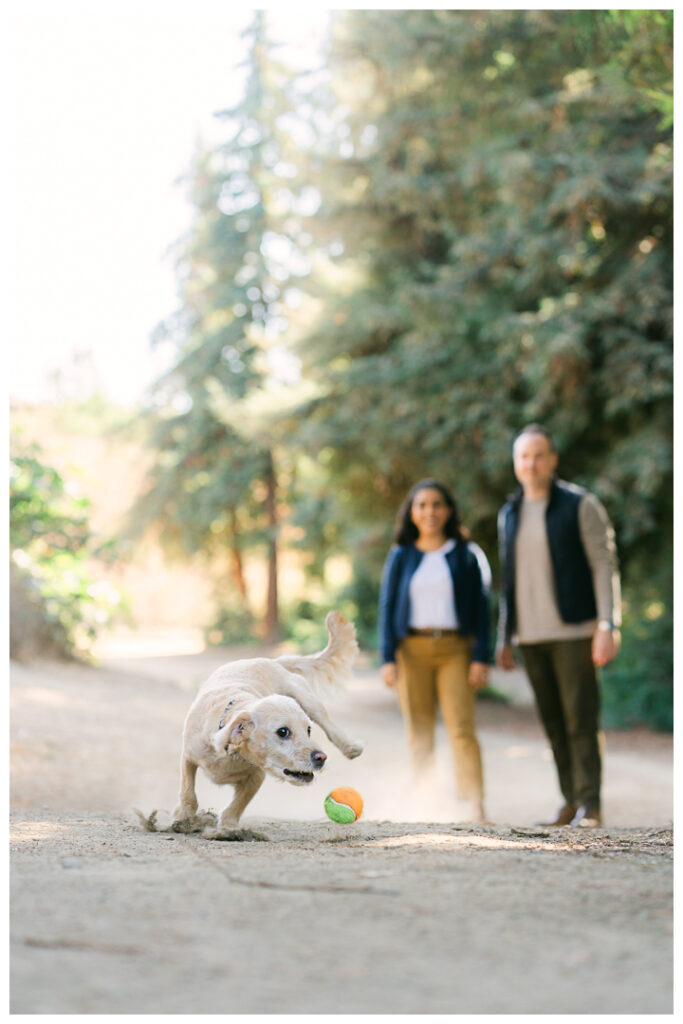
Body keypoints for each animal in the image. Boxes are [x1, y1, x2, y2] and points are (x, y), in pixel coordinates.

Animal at [172, 610, 362, 827]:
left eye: (308, 730)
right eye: (283, 732)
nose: (320, 758)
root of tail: (271, 661)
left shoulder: (257, 776)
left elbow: (239, 803)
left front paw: (228, 827)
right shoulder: (188, 756)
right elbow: (188, 789)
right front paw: (183, 816)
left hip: (308, 699)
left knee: (328, 722)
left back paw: (351, 747)